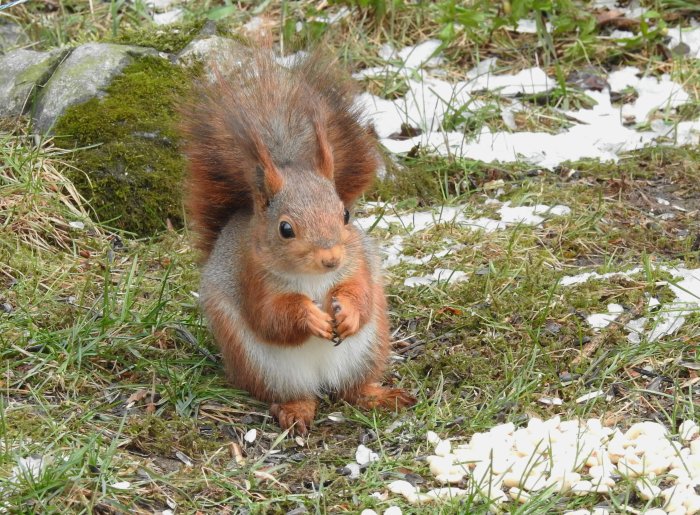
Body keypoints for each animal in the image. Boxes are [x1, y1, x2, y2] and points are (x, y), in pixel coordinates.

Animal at [180, 49, 416, 436]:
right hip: (265, 368)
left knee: (353, 389)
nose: (331, 258)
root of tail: (322, 379)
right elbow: (270, 317)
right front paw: (310, 316)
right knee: (299, 395)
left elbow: (362, 293)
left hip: (370, 347)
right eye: (285, 229)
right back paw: (296, 411)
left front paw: (348, 310)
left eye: (346, 214)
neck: (314, 279)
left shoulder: (358, 263)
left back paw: (380, 396)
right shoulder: (252, 277)